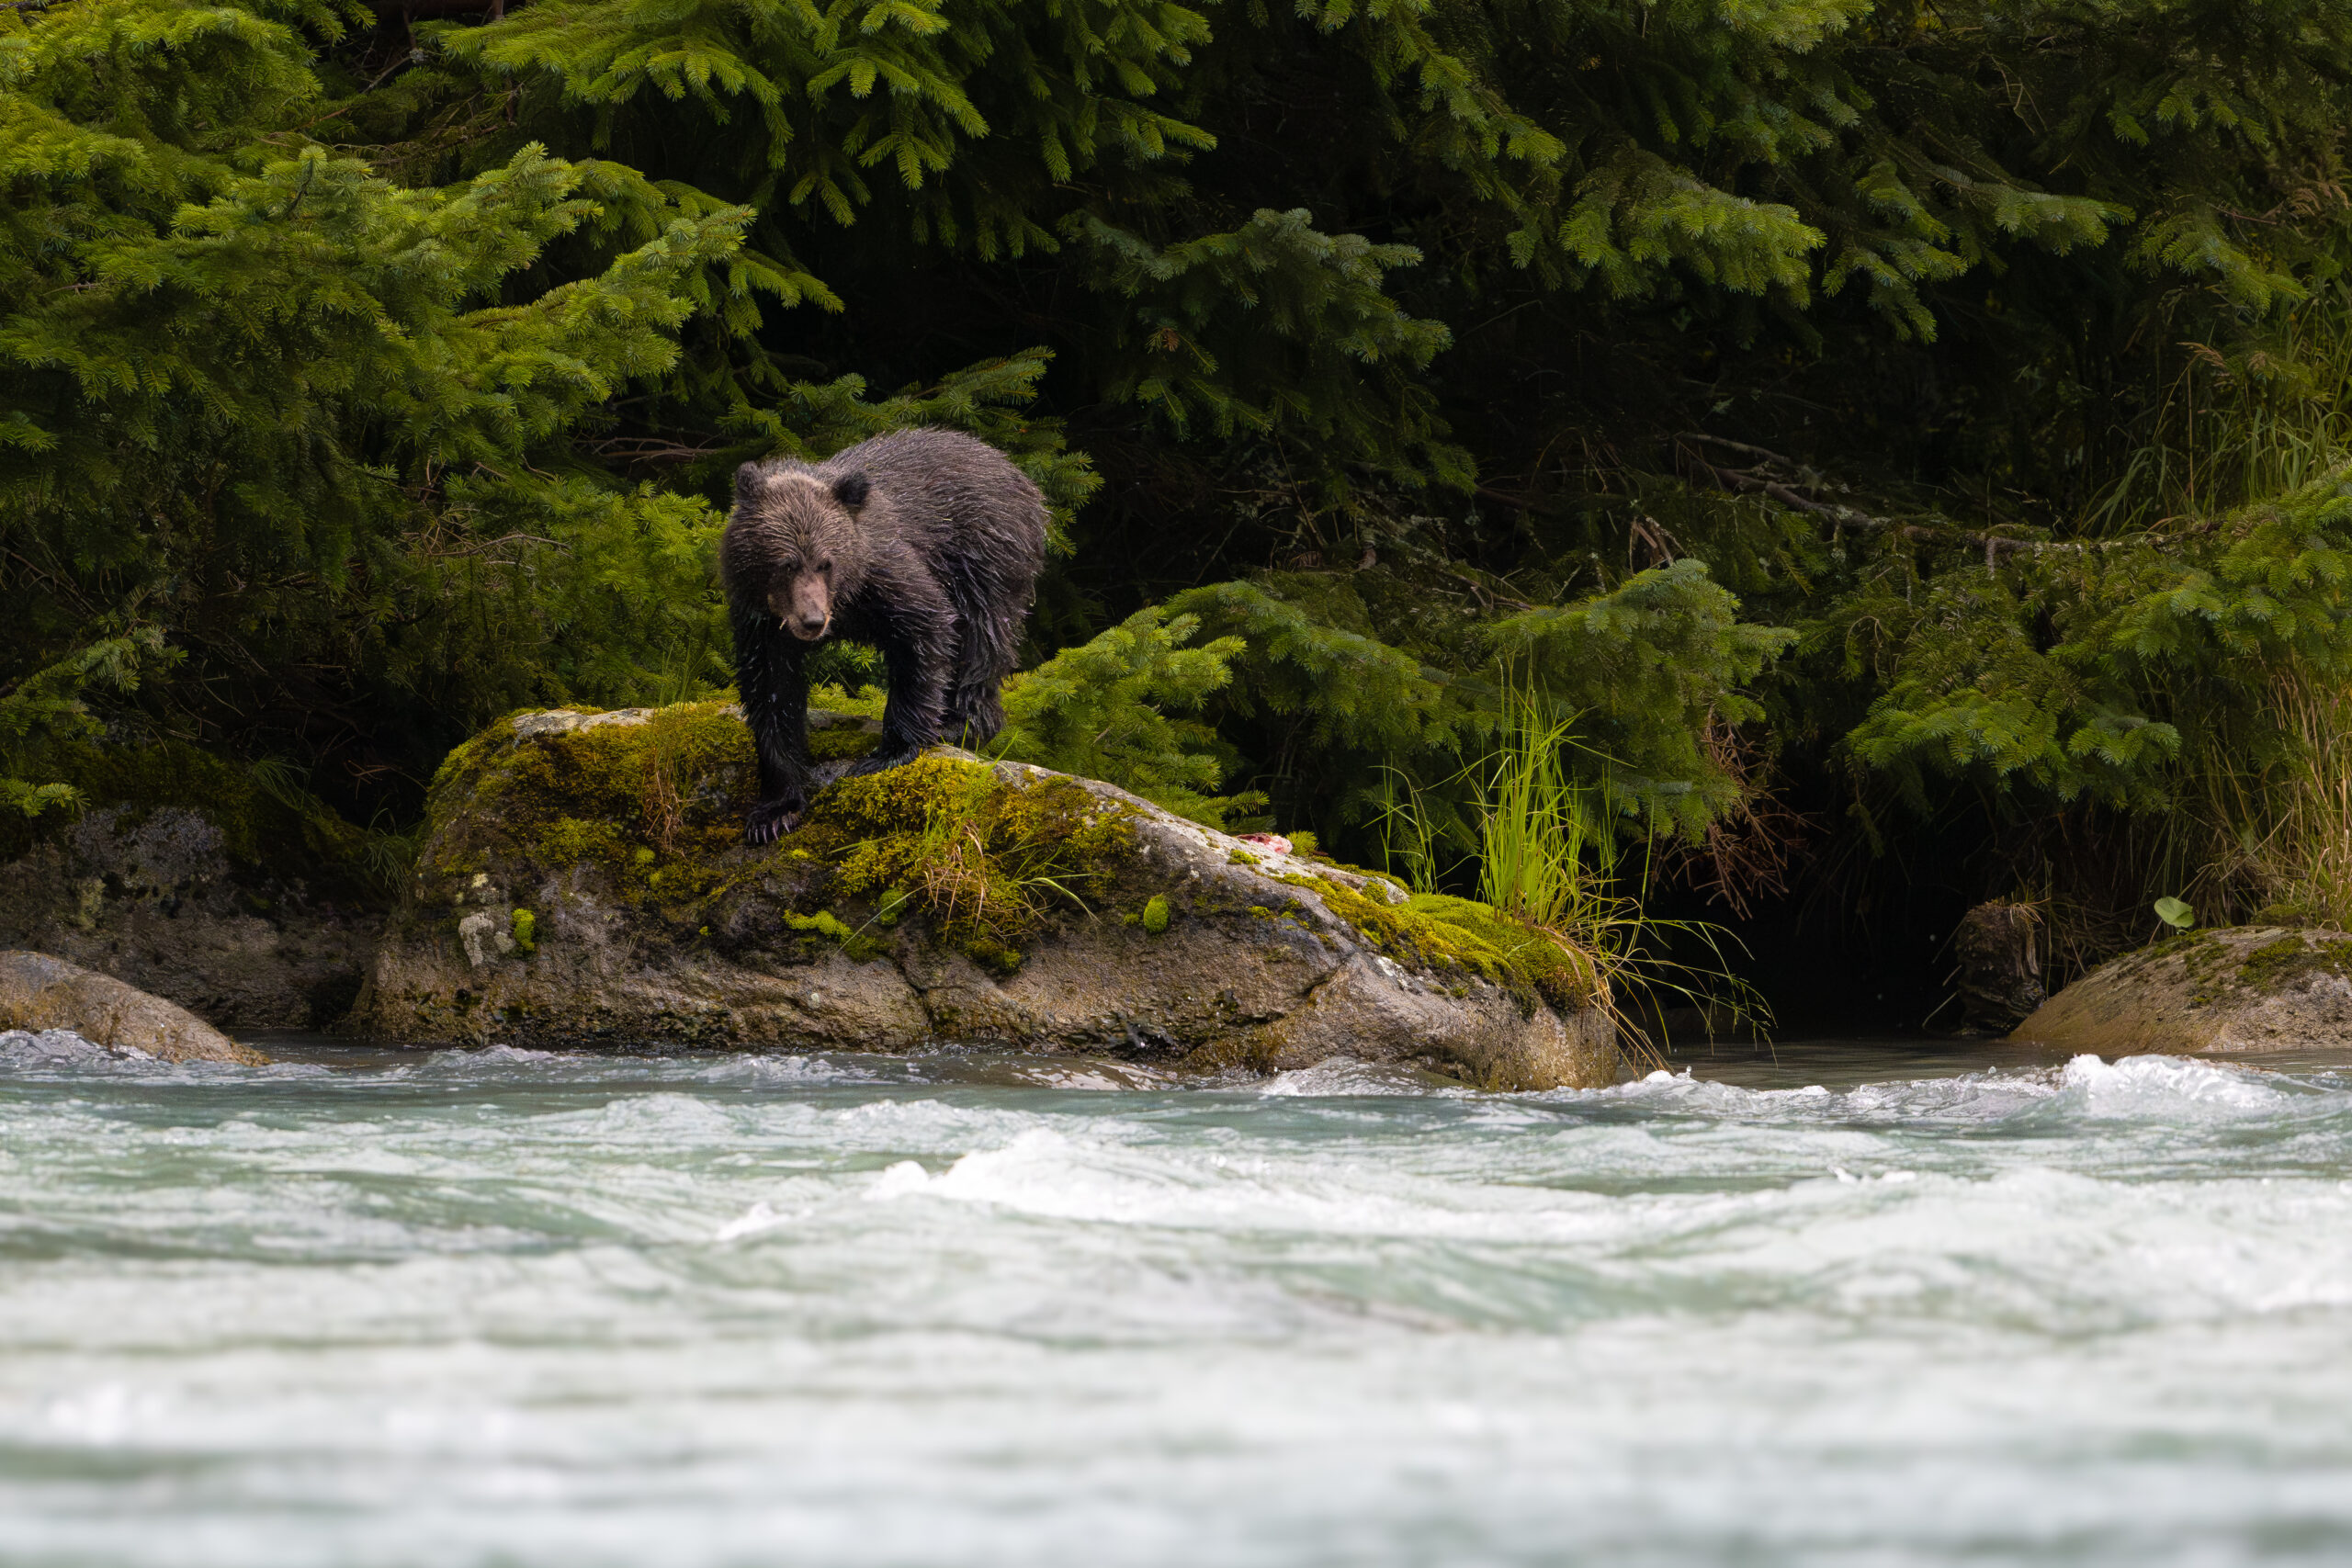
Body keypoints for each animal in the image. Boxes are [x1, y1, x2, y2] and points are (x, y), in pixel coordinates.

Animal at [720, 427, 1049, 844]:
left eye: (826, 562)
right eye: (785, 564)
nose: (812, 621)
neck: (847, 599)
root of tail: (1017, 473)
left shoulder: (888, 574)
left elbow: (926, 631)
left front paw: (889, 752)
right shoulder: (760, 624)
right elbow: (772, 692)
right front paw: (775, 811)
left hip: (986, 555)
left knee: (982, 638)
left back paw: (962, 723)